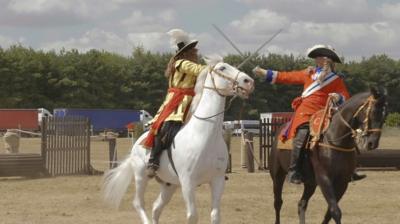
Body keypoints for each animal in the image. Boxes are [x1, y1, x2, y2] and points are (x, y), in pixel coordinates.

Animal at [102, 57, 253, 223]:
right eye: (222, 68)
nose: (248, 81)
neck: (205, 136)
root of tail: (137, 144)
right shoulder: (188, 183)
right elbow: (192, 216)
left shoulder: (217, 181)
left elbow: (215, 216)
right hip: (141, 176)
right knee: (138, 203)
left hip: (169, 184)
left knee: (156, 208)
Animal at [268, 86, 388, 224]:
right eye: (373, 112)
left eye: (385, 115)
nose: (372, 143)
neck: (336, 139)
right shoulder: (324, 179)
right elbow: (335, 211)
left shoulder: (342, 182)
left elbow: (329, 212)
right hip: (278, 175)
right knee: (278, 202)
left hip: (310, 183)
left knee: (301, 204)